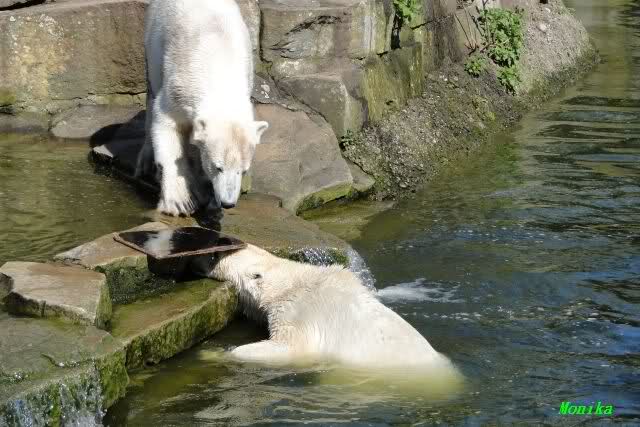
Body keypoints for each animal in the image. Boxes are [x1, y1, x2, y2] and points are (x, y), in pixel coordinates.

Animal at [137, 0, 269, 216]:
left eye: (243, 170)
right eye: (217, 167)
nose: (228, 203)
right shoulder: (179, 87)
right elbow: (166, 124)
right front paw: (180, 201)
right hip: (153, 38)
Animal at [201, 244, 461, 378]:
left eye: (220, 255)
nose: (210, 256)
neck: (296, 281)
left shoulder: (301, 313)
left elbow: (290, 348)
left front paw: (213, 354)